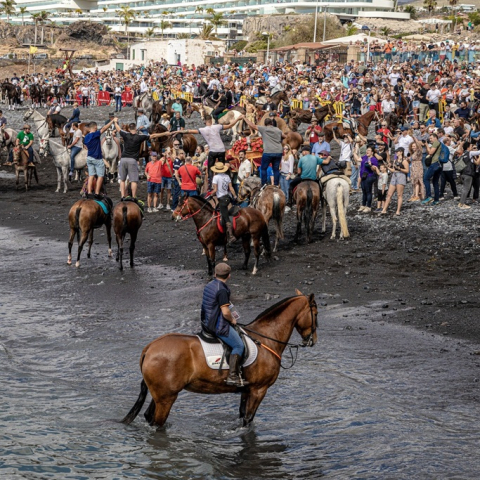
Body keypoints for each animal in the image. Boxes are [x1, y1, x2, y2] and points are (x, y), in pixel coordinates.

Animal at [120, 292, 316, 428]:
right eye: (315, 312)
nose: (312, 340)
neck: (266, 338)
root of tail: (150, 347)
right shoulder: (259, 389)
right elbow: (248, 420)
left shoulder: (247, 390)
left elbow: (242, 415)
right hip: (166, 398)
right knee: (157, 423)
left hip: (160, 395)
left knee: (149, 416)